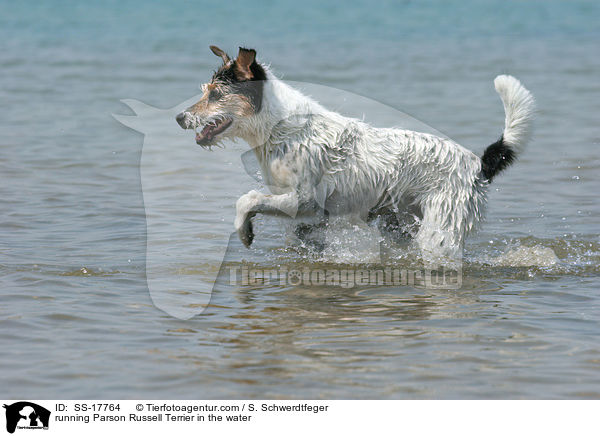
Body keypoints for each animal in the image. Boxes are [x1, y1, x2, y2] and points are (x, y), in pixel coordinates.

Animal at [175, 46, 536, 260]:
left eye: (216, 94)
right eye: (206, 91)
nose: (179, 118)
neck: (278, 128)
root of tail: (478, 164)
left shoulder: (304, 198)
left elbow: (246, 200)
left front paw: (245, 231)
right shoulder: (307, 213)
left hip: (439, 230)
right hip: (400, 221)